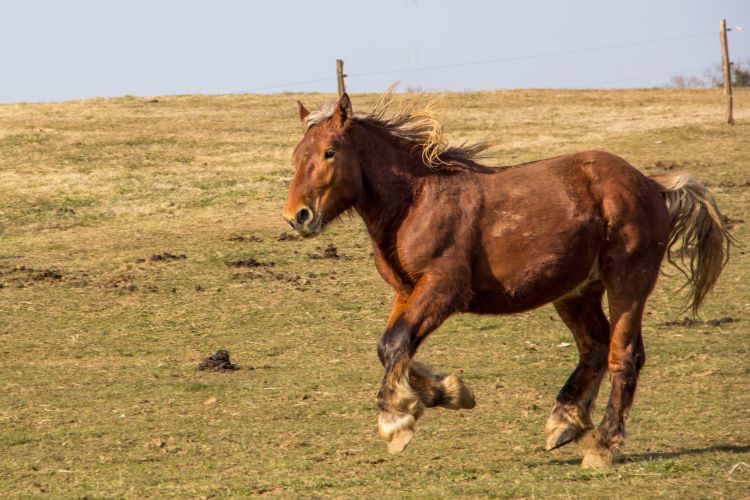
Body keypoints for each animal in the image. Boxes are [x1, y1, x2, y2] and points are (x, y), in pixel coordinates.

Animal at [284, 90, 736, 468]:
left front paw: (397, 421)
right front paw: (448, 392)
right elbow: (393, 347)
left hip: (628, 280)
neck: (416, 199)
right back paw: (565, 421)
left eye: (329, 152)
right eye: (295, 156)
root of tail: (652, 185)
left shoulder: (442, 289)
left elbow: (395, 344)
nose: (297, 216)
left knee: (623, 355)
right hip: (575, 291)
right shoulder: (407, 291)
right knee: (594, 346)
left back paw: (603, 445)